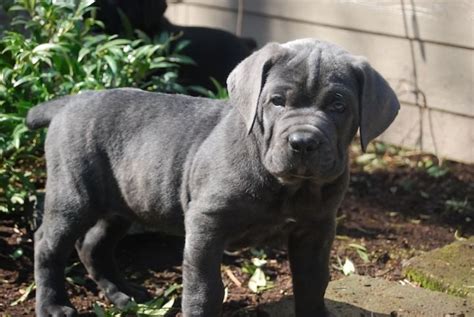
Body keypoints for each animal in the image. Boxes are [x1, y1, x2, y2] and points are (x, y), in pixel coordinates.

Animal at [26, 38, 400, 314]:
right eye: (277, 101)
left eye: (338, 106)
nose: (303, 142)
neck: (289, 187)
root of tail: (69, 102)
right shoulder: (207, 223)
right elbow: (205, 288)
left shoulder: (317, 228)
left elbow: (312, 282)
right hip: (75, 195)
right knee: (48, 245)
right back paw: (54, 306)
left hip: (124, 202)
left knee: (93, 245)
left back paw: (123, 294)